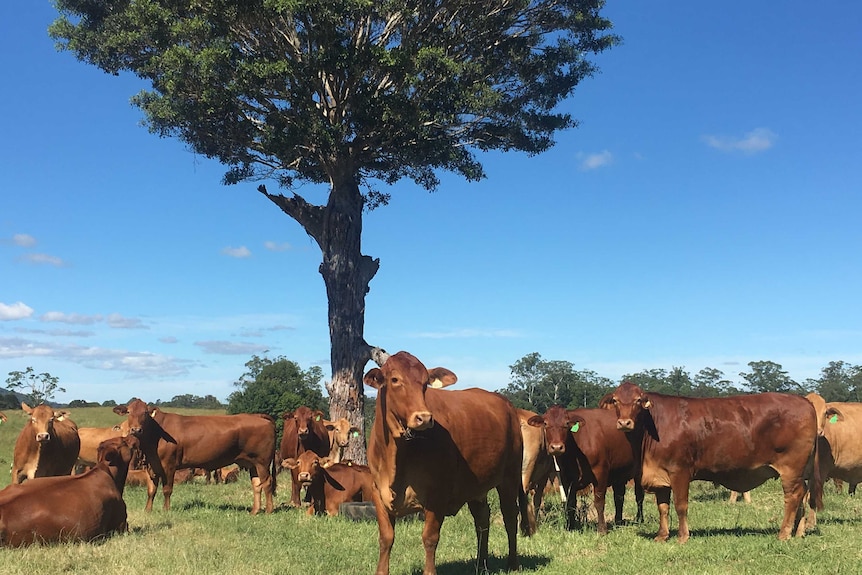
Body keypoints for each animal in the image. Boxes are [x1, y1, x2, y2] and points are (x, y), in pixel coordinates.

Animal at [110, 398, 274, 516]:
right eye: (129, 412)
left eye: (145, 413)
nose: (135, 429)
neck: (155, 435)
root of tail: (258, 416)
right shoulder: (152, 466)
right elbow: (151, 490)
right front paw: (148, 510)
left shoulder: (169, 466)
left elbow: (167, 489)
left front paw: (166, 510)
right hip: (253, 464)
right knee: (257, 485)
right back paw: (254, 511)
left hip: (263, 462)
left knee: (267, 483)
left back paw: (268, 510)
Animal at [364, 352, 528, 575]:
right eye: (395, 379)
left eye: (425, 383)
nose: (424, 418)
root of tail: (507, 403)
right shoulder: (378, 493)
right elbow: (386, 538)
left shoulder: (437, 496)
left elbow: (430, 538)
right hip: (476, 487)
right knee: (482, 519)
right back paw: (481, 564)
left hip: (509, 477)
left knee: (510, 516)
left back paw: (513, 563)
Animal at [528, 404, 640, 536]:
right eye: (545, 423)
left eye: (566, 423)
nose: (556, 447)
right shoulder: (566, 478)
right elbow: (571, 503)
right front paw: (570, 527)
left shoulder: (600, 472)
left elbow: (599, 502)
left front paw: (602, 529)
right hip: (619, 472)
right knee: (619, 497)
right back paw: (618, 521)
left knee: (639, 496)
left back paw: (640, 519)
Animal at [600, 384, 824, 544]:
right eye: (616, 401)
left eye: (638, 401)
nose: (624, 423)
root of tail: (803, 400)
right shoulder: (660, 475)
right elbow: (663, 507)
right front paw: (662, 536)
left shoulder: (679, 471)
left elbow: (680, 505)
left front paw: (682, 536)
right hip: (801, 471)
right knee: (803, 495)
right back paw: (798, 531)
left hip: (791, 469)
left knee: (793, 496)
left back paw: (784, 533)